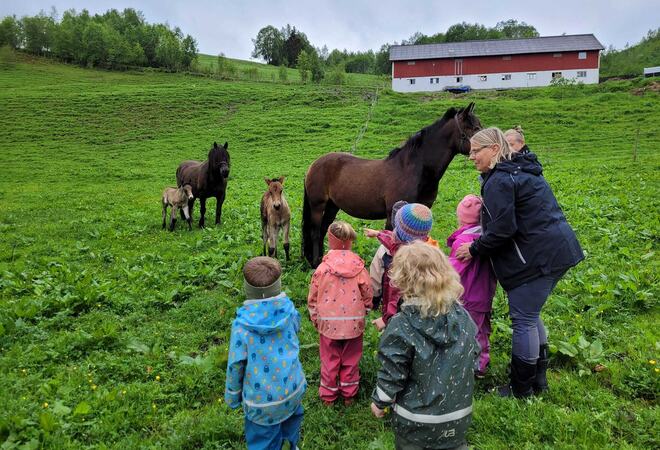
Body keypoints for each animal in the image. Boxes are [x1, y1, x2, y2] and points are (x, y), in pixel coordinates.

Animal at [300, 103, 480, 266]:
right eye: (474, 128)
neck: (412, 169)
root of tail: (313, 165)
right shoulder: (392, 215)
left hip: (332, 205)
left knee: (324, 229)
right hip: (318, 205)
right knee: (315, 232)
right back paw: (315, 262)